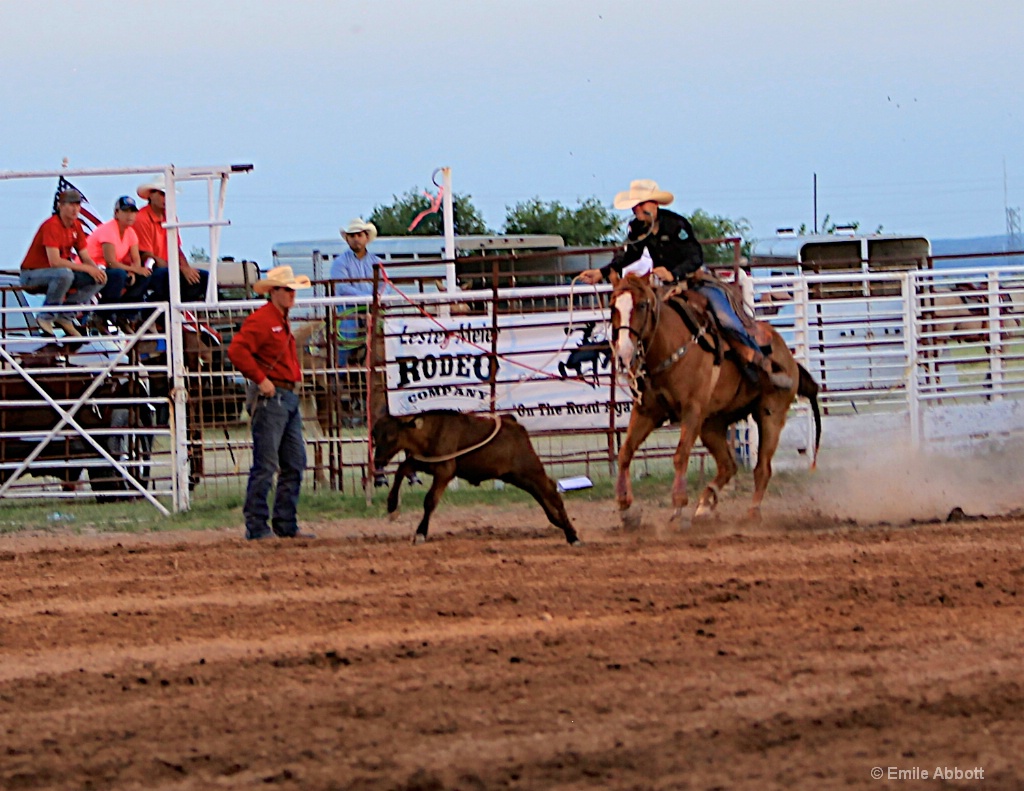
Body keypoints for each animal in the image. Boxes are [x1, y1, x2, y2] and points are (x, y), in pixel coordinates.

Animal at [606, 274, 823, 528]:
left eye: (641, 305)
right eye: (613, 306)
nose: (624, 353)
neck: (669, 345)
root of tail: (789, 358)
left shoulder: (692, 410)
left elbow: (680, 455)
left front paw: (678, 507)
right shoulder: (647, 411)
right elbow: (625, 452)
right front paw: (626, 508)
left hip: (771, 414)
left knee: (762, 468)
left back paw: (752, 512)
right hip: (712, 425)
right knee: (728, 465)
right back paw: (704, 506)